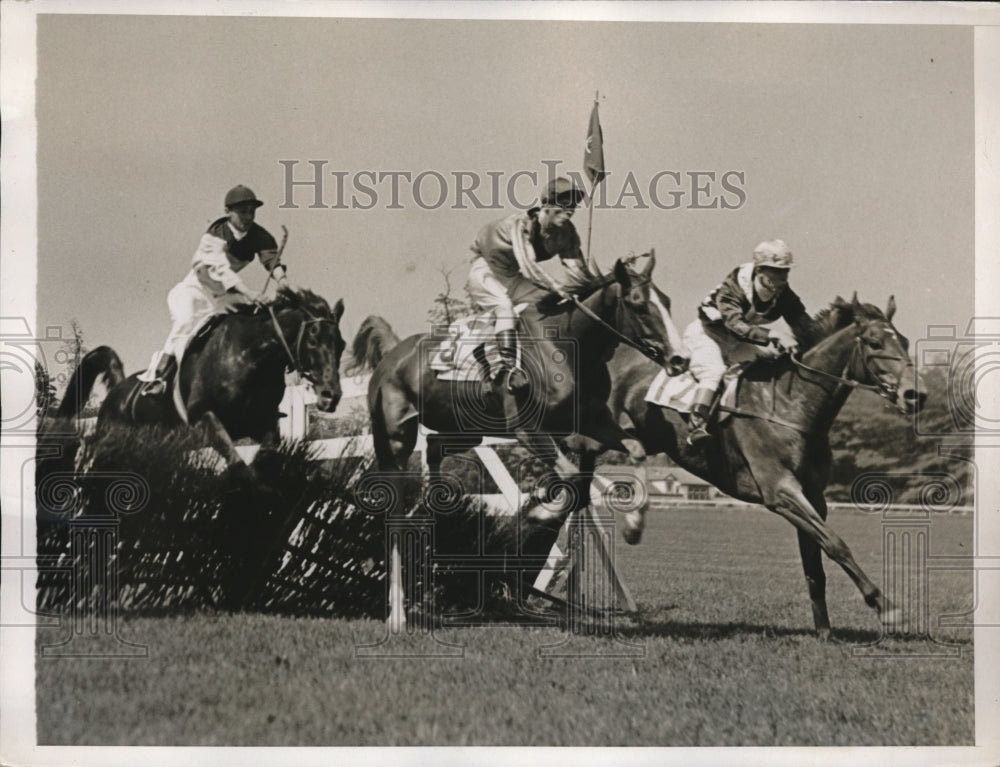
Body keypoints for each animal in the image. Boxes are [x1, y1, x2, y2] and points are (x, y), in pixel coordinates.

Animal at [604, 294, 924, 636]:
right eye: (875, 343)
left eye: (904, 341)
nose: (915, 394)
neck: (789, 406)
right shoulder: (780, 492)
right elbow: (836, 545)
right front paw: (887, 608)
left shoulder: (813, 496)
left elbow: (815, 563)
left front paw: (824, 630)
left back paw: (634, 524)